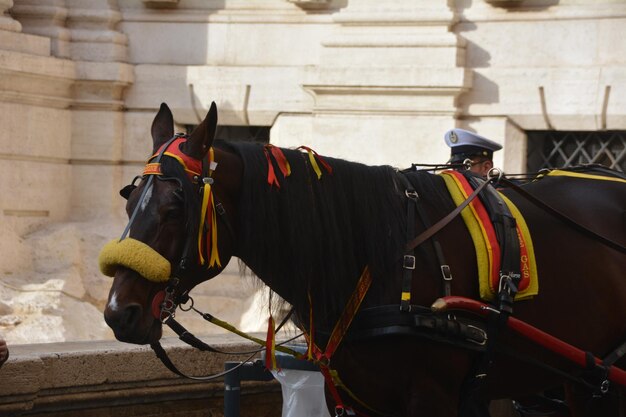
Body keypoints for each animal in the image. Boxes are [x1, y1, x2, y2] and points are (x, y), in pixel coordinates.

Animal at [102, 101, 624, 416]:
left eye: (176, 208)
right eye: (128, 202)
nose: (117, 313)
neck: (384, 258)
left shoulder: (431, 398)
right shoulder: (355, 397)